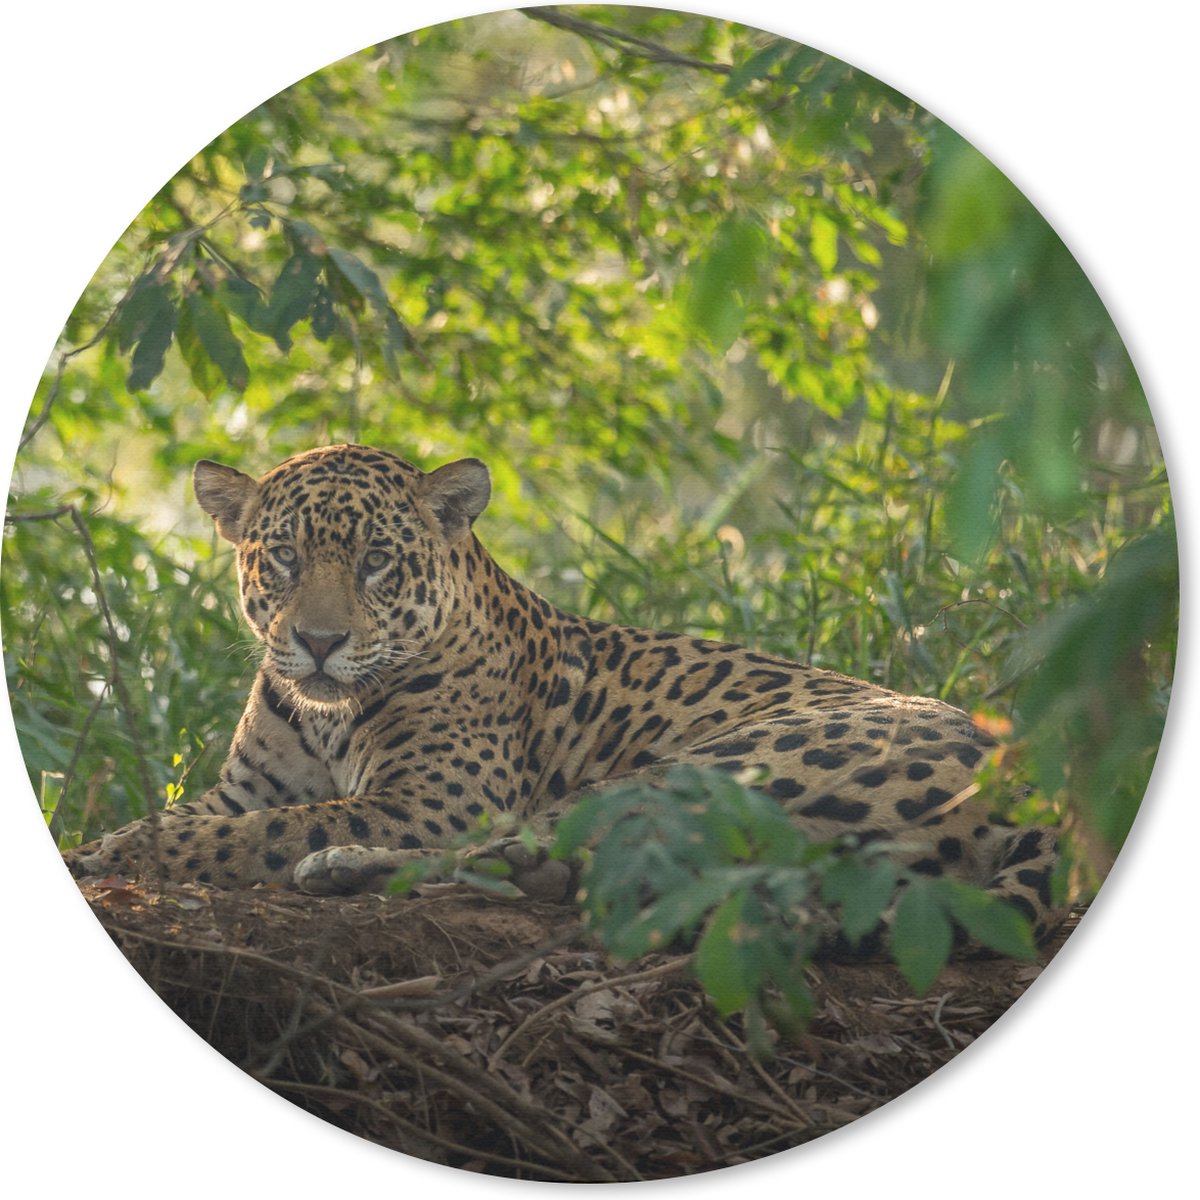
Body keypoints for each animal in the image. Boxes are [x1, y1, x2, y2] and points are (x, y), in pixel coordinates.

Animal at [63, 443, 1062, 943]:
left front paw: (116, 852)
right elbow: (212, 815)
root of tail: (1030, 786)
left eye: (378, 560)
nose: (316, 642)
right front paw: (102, 844)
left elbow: (261, 832)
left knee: (506, 854)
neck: (323, 717)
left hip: (706, 768)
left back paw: (342, 869)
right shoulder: (244, 786)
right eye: (283, 557)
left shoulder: (432, 799)